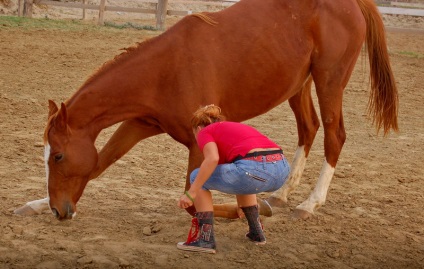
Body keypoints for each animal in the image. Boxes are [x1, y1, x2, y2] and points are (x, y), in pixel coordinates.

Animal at [14, 0, 398, 219]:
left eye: (58, 156)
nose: (59, 211)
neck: (166, 69)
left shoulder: (198, 145)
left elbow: (192, 199)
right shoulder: (139, 124)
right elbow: (99, 163)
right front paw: (34, 205)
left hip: (329, 80)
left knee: (334, 134)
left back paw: (309, 203)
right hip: (298, 86)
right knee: (309, 129)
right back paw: (282, 194)